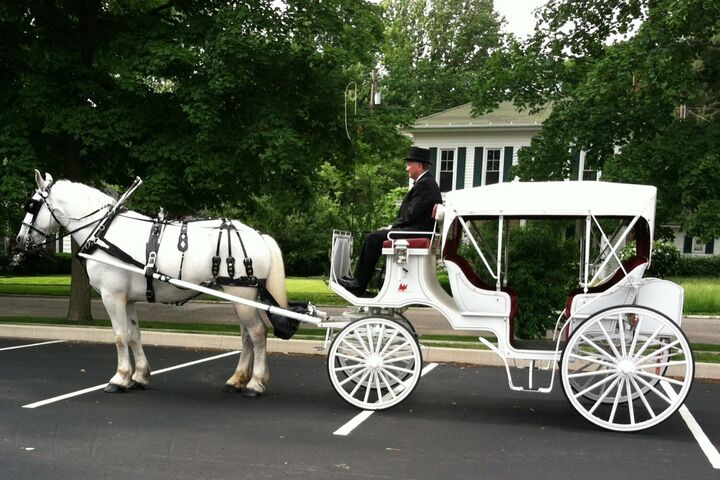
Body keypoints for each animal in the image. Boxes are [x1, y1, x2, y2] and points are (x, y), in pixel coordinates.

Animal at [16, 171, 286, 396]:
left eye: (31, 204)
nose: (20, 240)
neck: (103, 231)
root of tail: (259, 235)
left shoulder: (112, 296)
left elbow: (119, 336)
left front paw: (119, 378)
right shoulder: (127, 299)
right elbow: (134, 335)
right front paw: (139, 376)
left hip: (242, 293)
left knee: (257, 333)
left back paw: (255, 383)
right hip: (238, 295)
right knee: (246, 335)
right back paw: (237, 379)